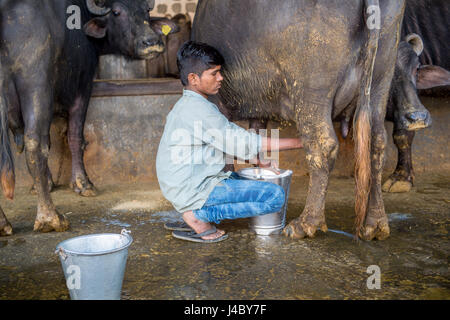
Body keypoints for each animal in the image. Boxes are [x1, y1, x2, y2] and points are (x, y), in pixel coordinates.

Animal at [0, 0, 179, 235]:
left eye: (146, 12)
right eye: (117, 12)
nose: (152, 42)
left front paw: (46, 183)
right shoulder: (83, 87)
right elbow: (74, 137)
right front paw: (82, 183)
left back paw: (4, 223)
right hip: (36, 84)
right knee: (34, 145)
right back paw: (50, 218)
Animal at [193, 0, 408, 240]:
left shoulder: (217, 101)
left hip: (311, 90)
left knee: (323, 146)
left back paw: (305, 223)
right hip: (381, 82)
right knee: (376, 143)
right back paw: (376, 223)